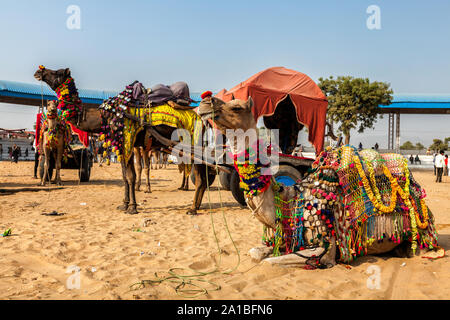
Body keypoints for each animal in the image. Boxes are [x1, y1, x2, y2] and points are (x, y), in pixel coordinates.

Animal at [34, 65, 214, 215]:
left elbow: (130, 176)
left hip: (193, 143)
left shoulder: (127, 139)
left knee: (199, 177)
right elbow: (125, 175)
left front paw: (133, 207)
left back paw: (192, 209)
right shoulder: (123, 144)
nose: (38, 72)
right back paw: (195, 206)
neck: (106, 115)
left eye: (56, 73)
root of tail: (201, 119)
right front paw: (125, 204)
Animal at [199, 95, 442, 268]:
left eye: (237, 107)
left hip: (420, 231)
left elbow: (270, 262)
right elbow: (256, 253)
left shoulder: (324, 246)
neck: (289, 202)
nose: (205, 101)